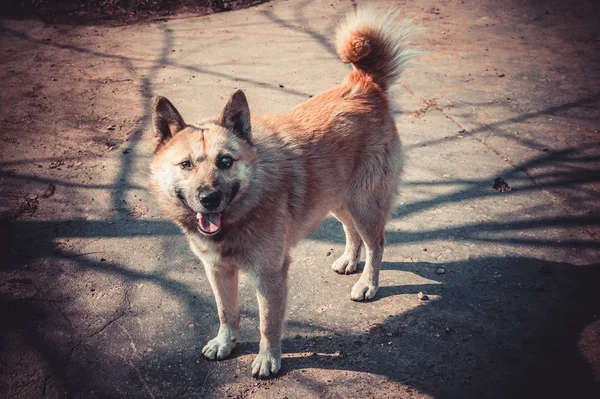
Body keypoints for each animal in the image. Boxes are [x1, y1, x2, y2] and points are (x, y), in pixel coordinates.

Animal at [149, 7, 418, 380]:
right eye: (186, 164)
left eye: (225, 161)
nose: (209, 199)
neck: (246, 206)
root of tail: (364, 85)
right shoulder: (217, 270)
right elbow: (225, 311)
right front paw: (225, 342)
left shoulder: (270, 275)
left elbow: (267, 324)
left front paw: (268, 358)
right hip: (337, 198)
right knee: (353, 232)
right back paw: (350, 260)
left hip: (364, 203)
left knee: (376, 243)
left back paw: (368, 283)